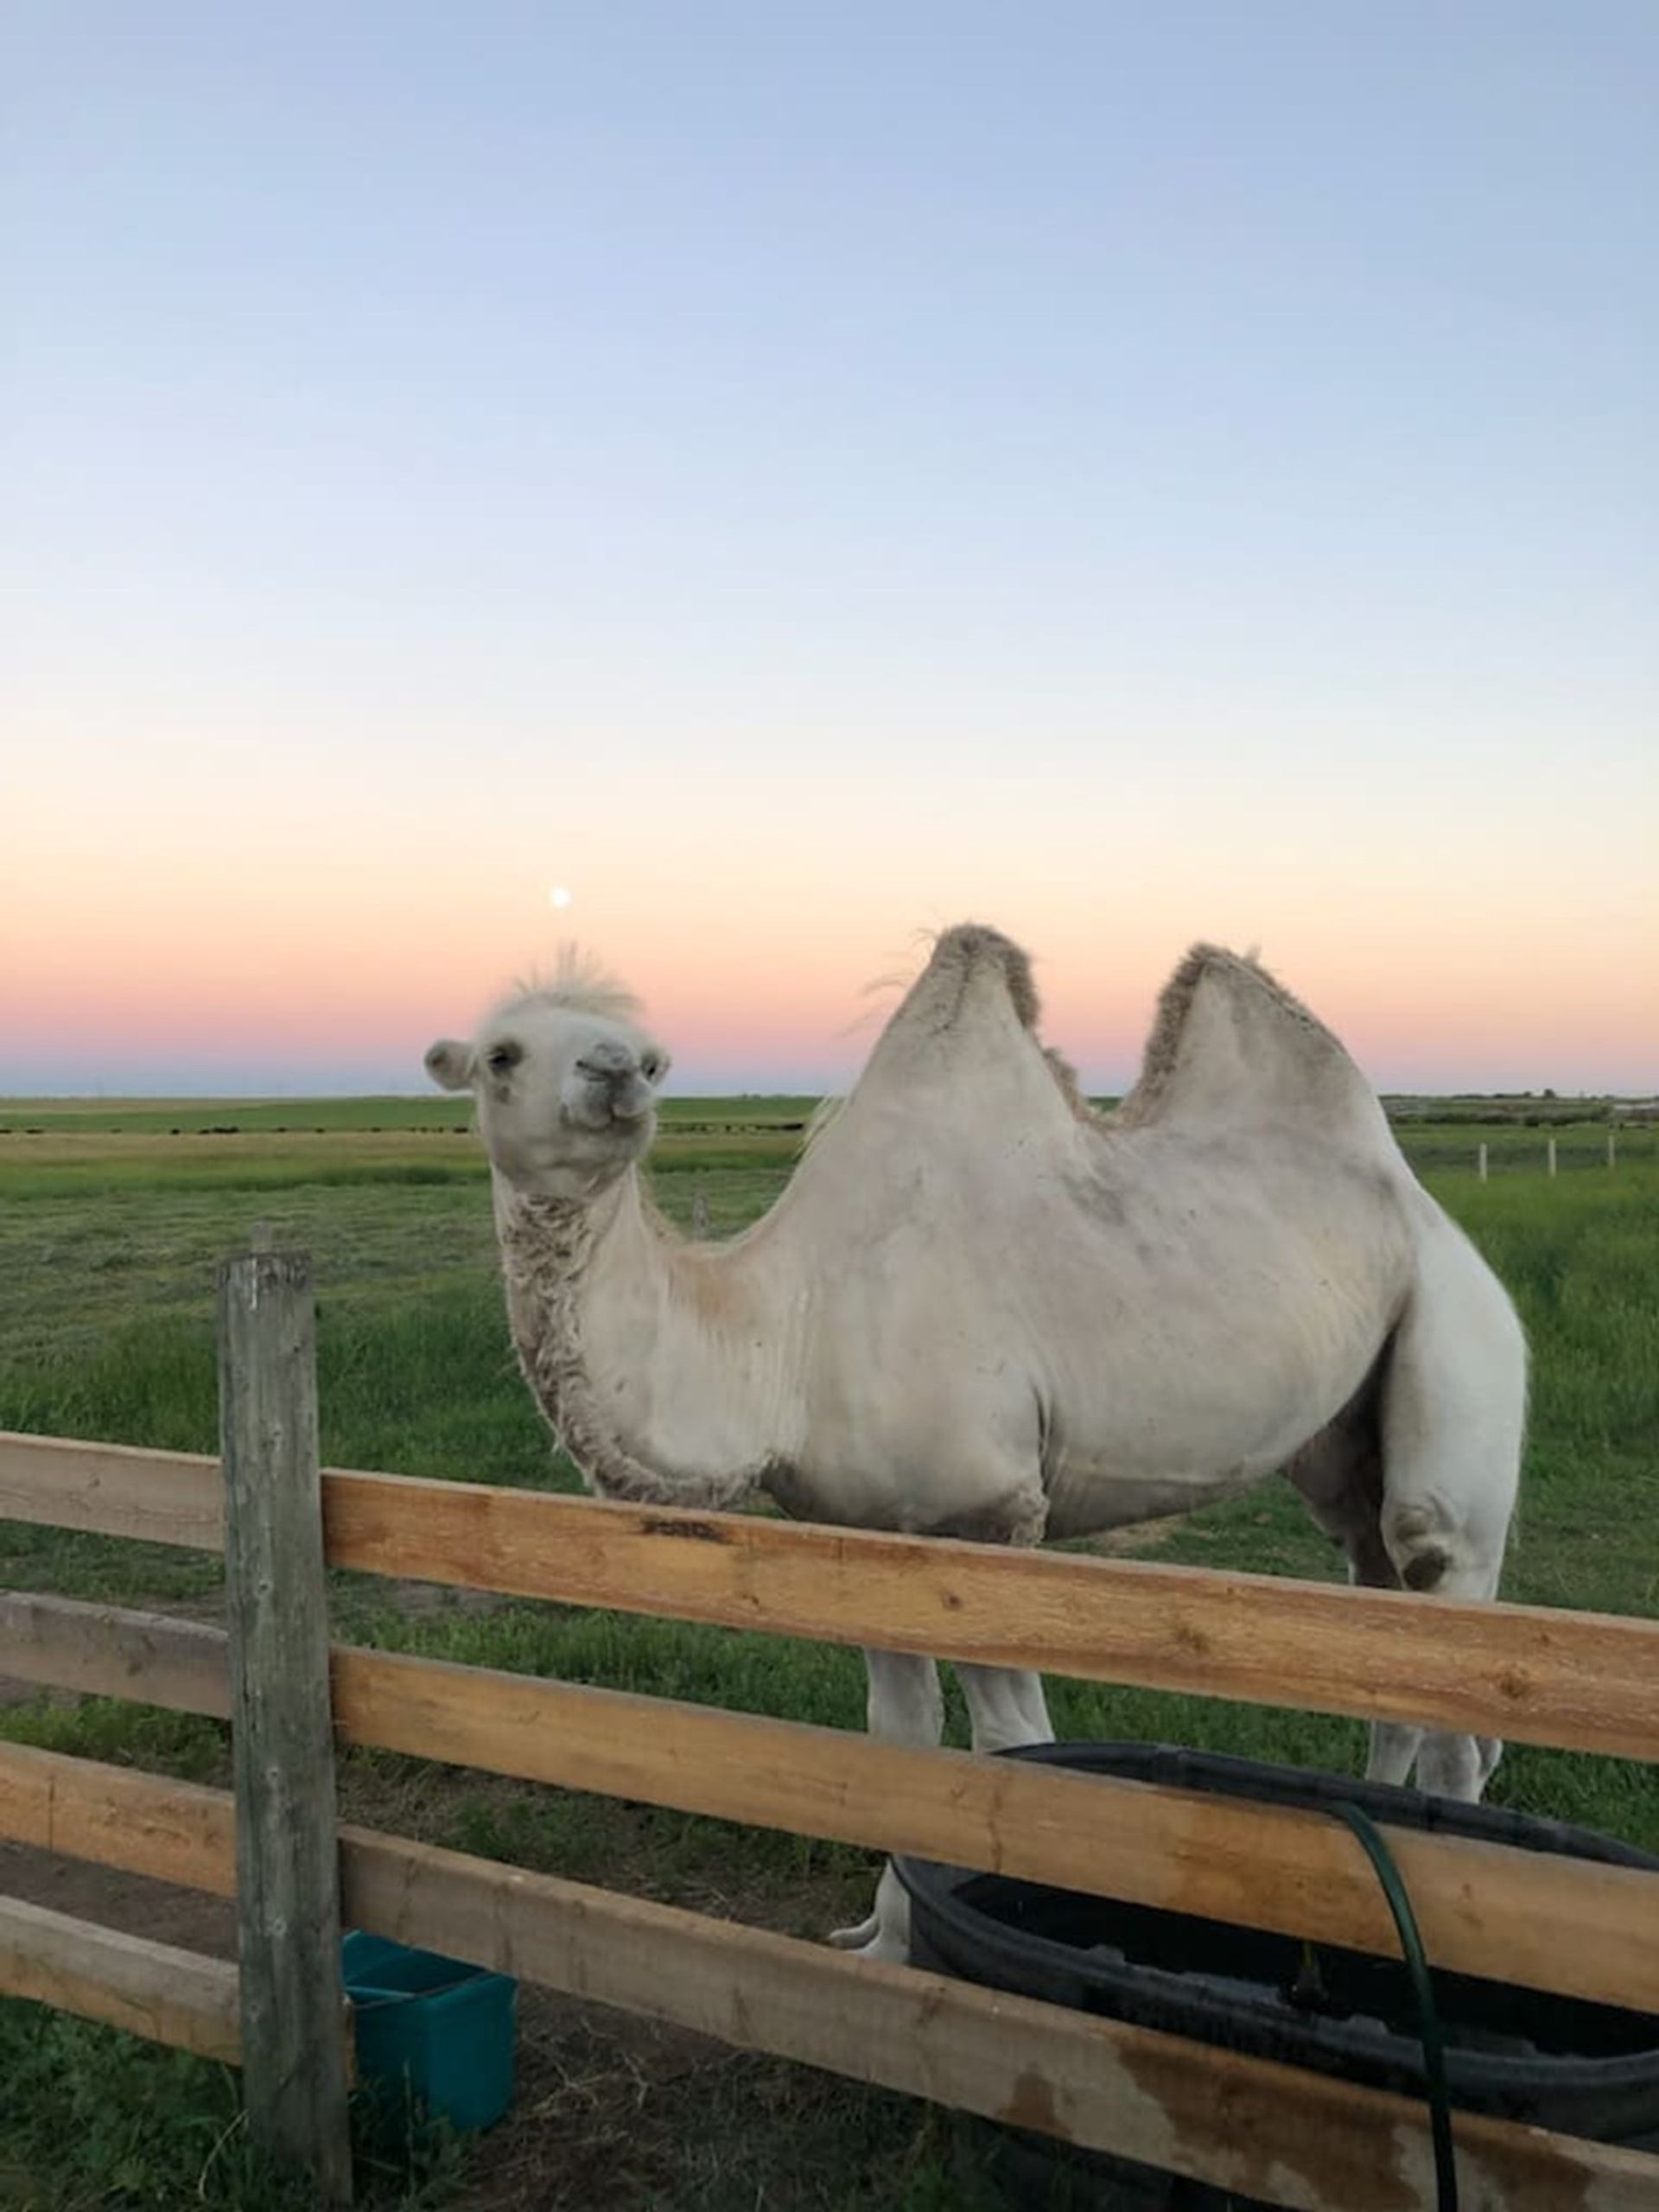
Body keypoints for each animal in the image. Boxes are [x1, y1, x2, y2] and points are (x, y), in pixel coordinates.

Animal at [426, 926, 1526, 1961]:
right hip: (1342, 1452)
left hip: (1457, 1348)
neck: (789, 1335)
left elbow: (1011, 1747)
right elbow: (900, 1741)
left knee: (1444, 1616)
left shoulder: (989, 1516)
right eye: (503, 1053)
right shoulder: (863, 1531)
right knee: (1387, 1644)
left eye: (652, 1060)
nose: (613, 1074)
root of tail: (1431, 1216)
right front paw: (882, 1944)